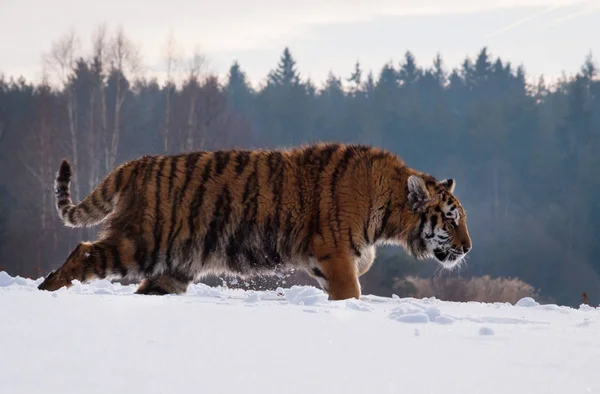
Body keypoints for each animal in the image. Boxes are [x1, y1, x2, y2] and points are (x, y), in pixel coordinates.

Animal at [37, 143, 472, 300]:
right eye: (451, 220)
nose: (468, 247)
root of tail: (133, 165)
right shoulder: (335, 255)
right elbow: (352, 292)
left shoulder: (329, 260)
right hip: (141, 243)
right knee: (84, 252)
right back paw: (47, 291)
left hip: (175, 266)